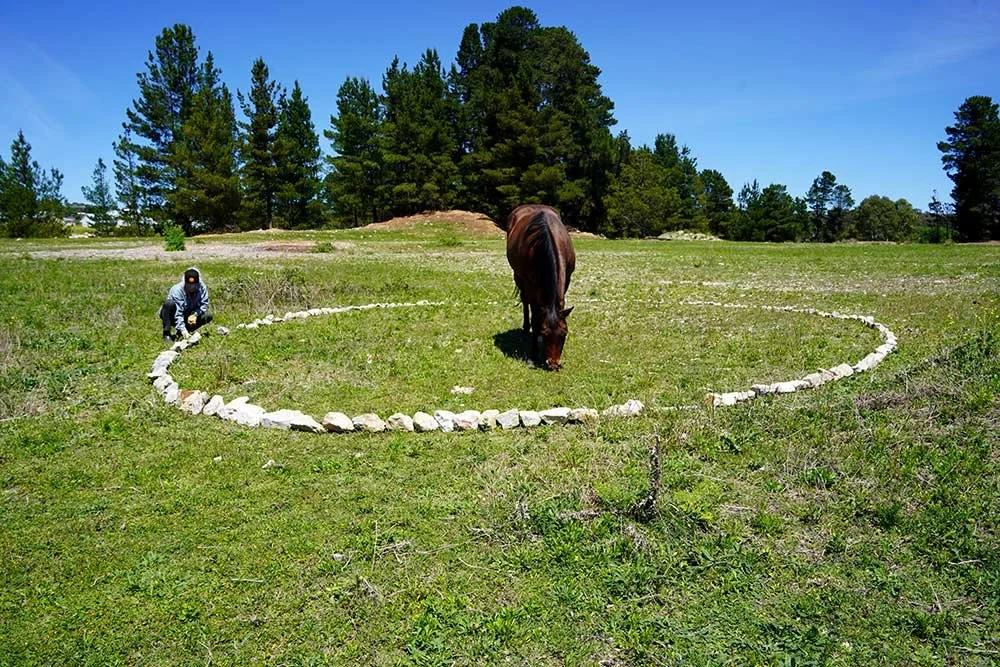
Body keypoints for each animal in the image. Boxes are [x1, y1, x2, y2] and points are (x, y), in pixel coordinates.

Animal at [502, 204, 576, 370]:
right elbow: (535, 317)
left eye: (564, 333)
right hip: (519, 277)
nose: (554, 363)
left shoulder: (566, 279)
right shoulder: (530, 284)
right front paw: (533, 356)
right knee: (525, 303)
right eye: (545, 332)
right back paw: (525, 330)